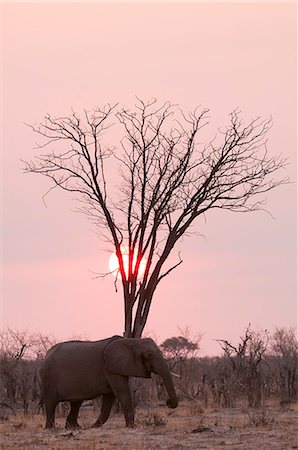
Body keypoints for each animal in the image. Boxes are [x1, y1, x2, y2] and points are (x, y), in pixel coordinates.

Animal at [40, 334, 178, 428]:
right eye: (149, 355)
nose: (168, 402)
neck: (132, 341)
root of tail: (47, 354)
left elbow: (109, 398)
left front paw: (94, 427)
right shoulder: (110, 368)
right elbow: (122, 393)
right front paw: (131, 426)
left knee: (76, 403)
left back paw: (75, 428)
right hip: (49, 377)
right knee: (51, 402)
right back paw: (51, 428)